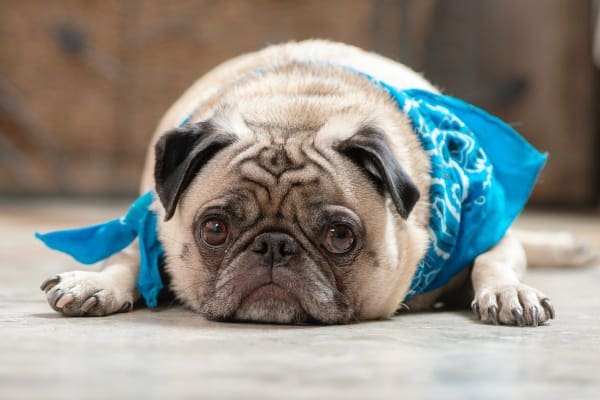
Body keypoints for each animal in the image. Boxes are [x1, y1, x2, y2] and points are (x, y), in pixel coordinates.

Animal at [39, 39, 592, 324]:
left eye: (340, 237)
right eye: (214, 230)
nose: (273, 246)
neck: (297, 106)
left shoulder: (490, 234)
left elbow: (492, 262)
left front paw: (508, 292)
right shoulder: (152, 224)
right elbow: (125, 255)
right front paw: (94, 281)